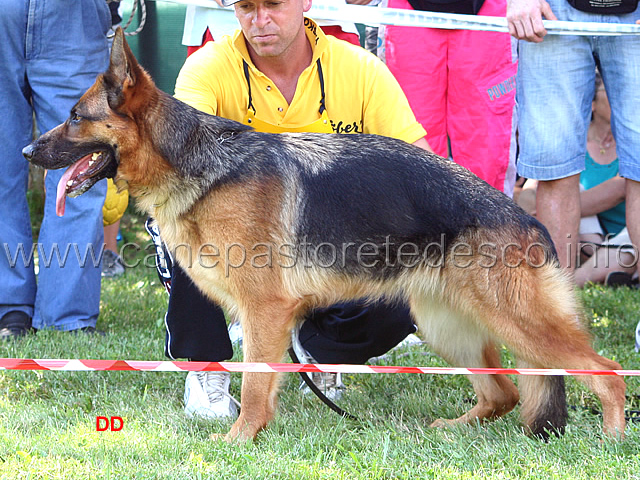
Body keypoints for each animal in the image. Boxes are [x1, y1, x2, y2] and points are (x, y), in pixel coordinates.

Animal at [23, 29, 624, 442]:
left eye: (75, 117)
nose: (27, 151)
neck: (197, 161)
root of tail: (526, 218)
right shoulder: (263, 314)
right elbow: (255, 377)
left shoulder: (265, 310)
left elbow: (255, 383)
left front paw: (241, 438)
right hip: (447, 327)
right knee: (504, 392)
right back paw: (450, 430)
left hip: (517, 320)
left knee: (606, 373)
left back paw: (611, 438)